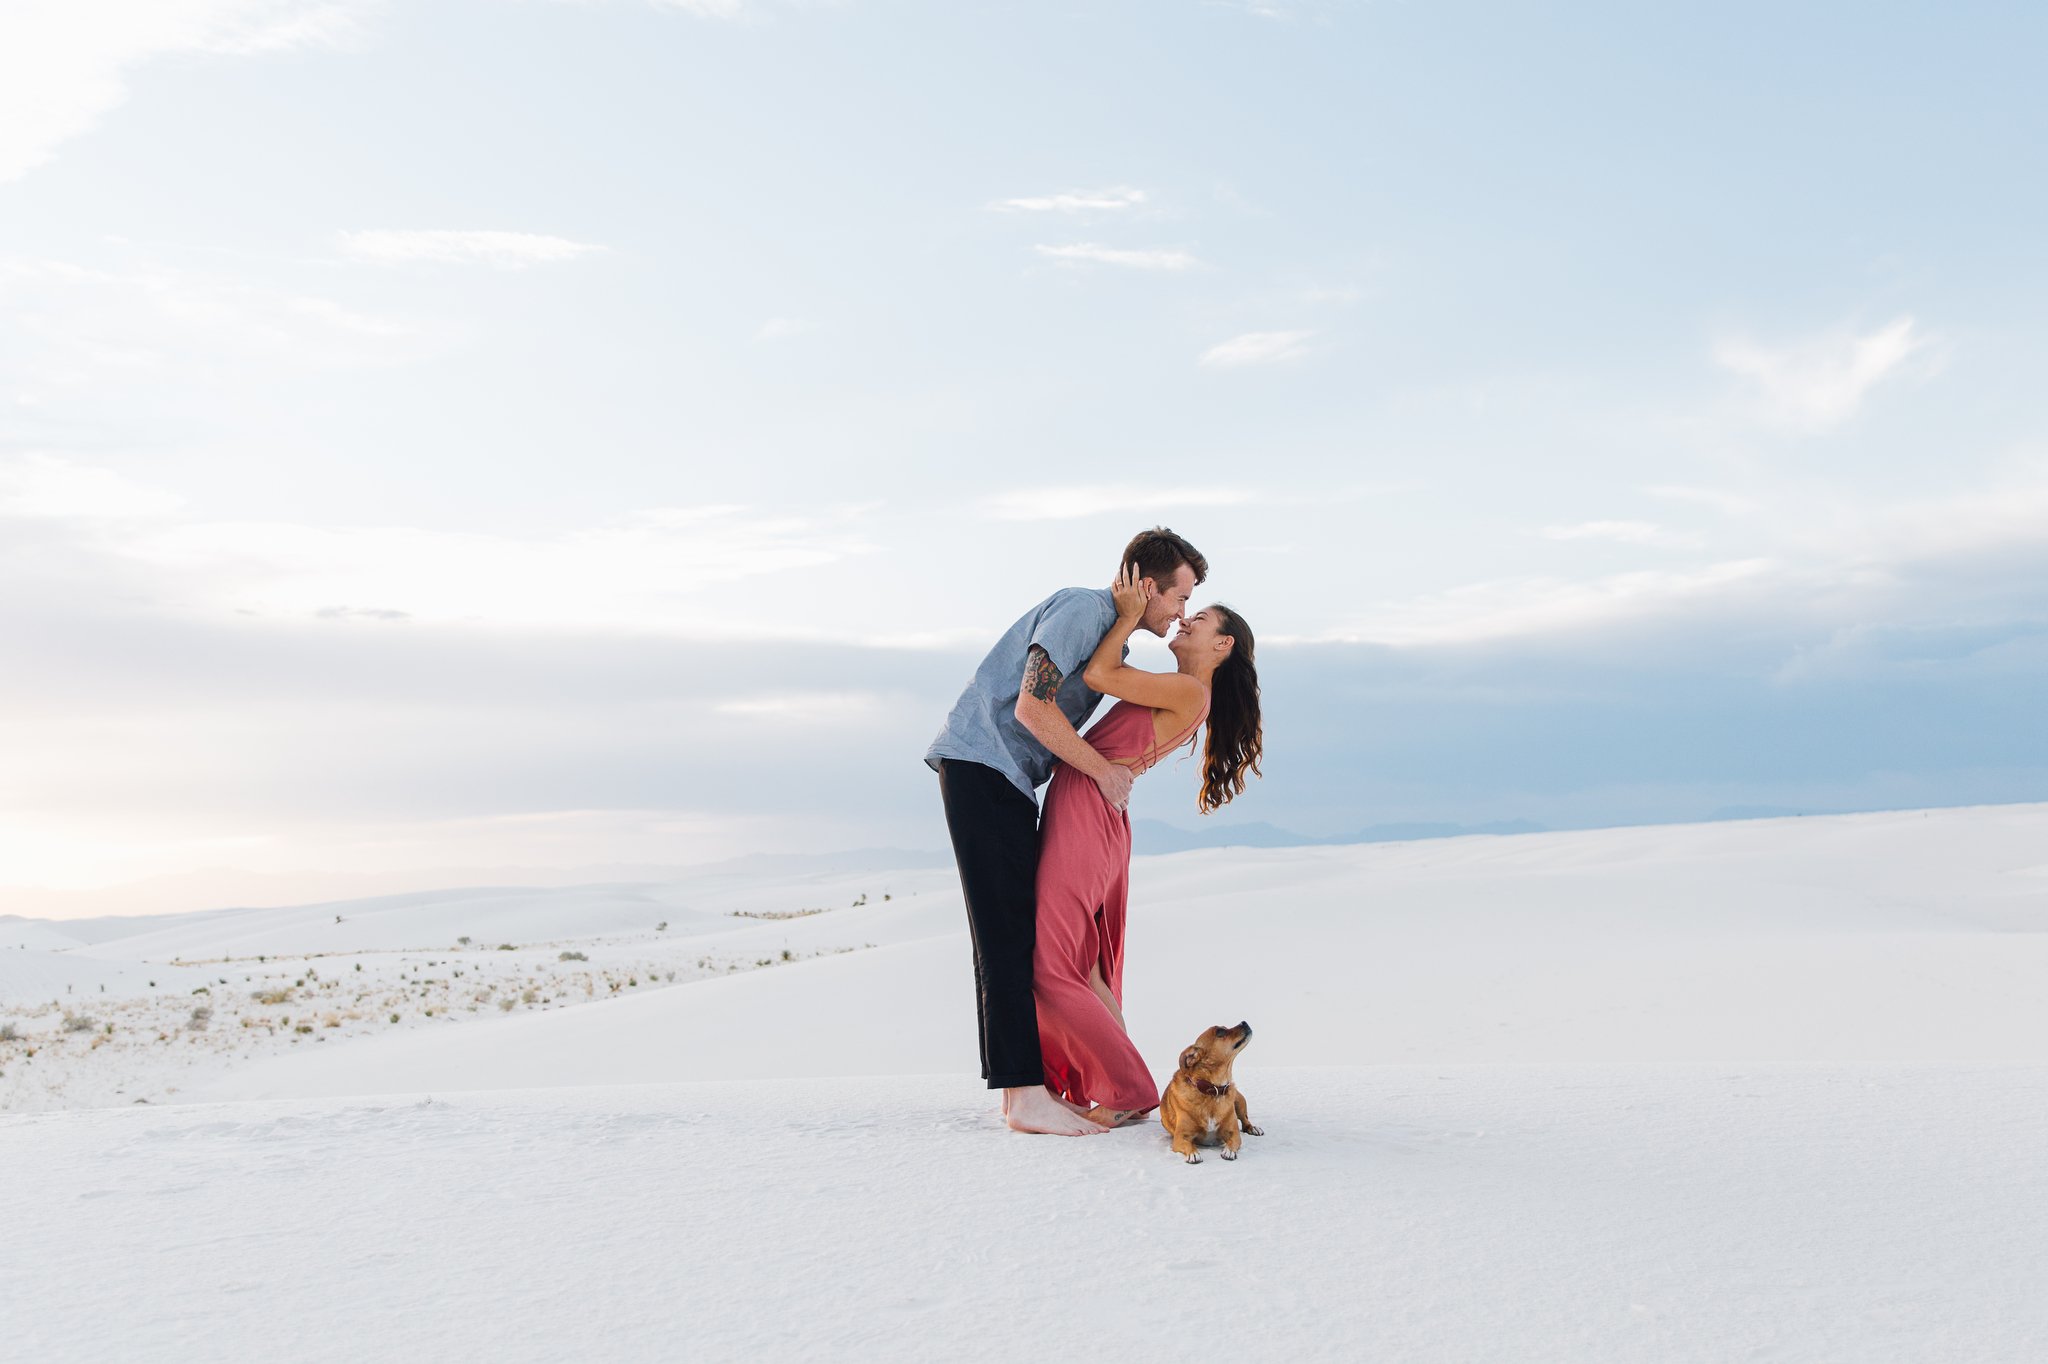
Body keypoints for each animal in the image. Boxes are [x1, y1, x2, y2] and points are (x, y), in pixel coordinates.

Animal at [1163, 1019, 1253, 1155]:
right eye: (1220, 1032)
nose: (1244, 1022)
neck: (1213, 1090)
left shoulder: (1234, 1133)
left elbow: (1233, 1142)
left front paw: (1229, 1151)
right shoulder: (1180, 1137)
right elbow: (1189, 1146)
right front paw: (1193, 1154)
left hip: (1239, 1101)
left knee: (1245, 1118)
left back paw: (1253, 1128)